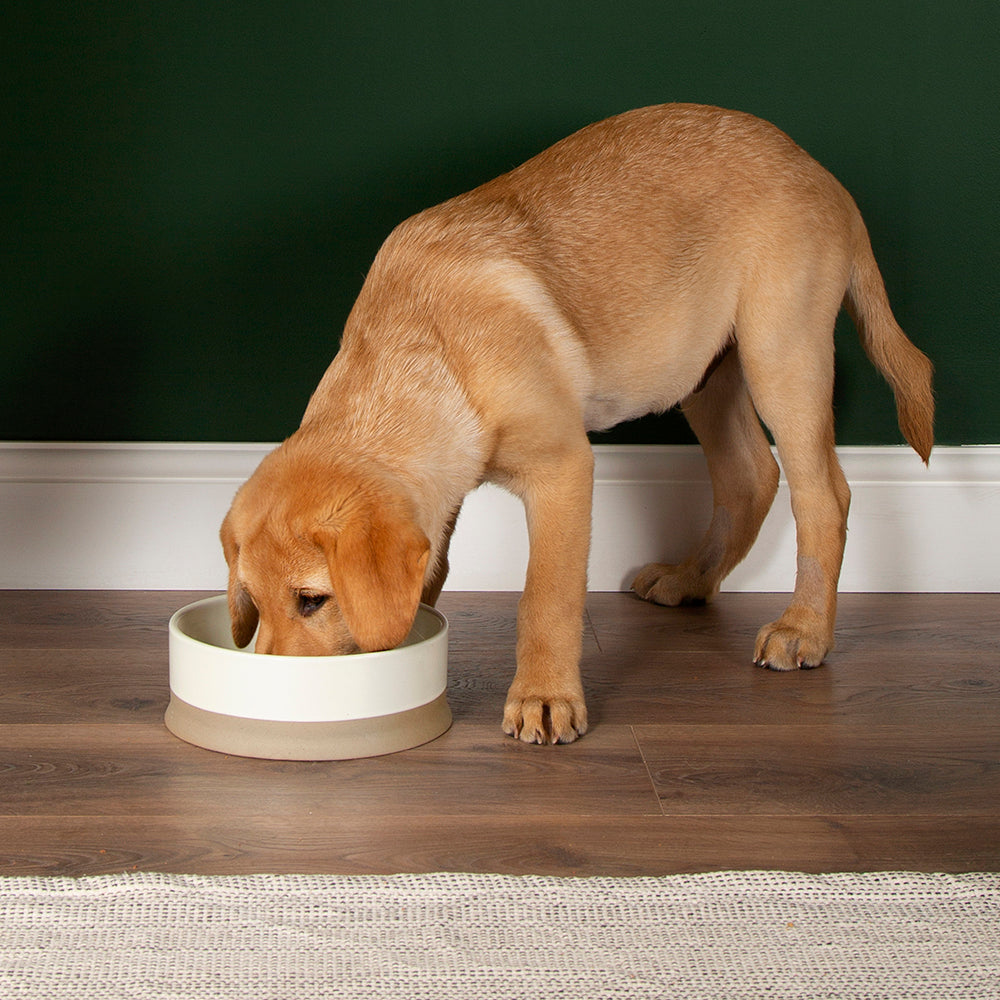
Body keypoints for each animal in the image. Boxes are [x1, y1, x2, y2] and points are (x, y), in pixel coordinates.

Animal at [219, 103, 928, 744]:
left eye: (313, 599)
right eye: (251, 598)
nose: (271, 691)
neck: (425, 345)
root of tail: (820, 173)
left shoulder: (563, 468)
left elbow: (546, 597)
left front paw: (544, 698)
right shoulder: (441, 495)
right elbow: (432, 572)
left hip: (781, 351)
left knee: (823, 495)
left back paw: (803, 628)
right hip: (701, 368)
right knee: (750, 476)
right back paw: (691, 579)